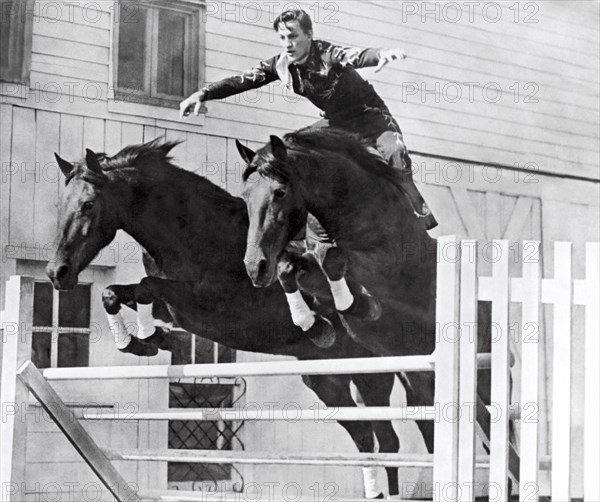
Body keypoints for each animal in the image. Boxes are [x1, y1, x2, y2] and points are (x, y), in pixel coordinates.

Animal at [43, 138, 436, 498]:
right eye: (61, 205)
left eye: (88, 204)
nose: (57, 273)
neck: (191, 230)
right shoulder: (176, 307)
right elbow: (117, 293)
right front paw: (146, 341)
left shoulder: (210, 305)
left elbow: (146, 288)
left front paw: (149, 340)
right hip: (327, 380)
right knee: (368, 438)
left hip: (373, 373)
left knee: (391, 440)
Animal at [238, 127, 520, 484]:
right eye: (245, 196)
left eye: (280, 192)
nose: (255, 268)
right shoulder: (311, 270)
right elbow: (295, 268)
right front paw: (317, 327)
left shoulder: (383, 269)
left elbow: (332, 259)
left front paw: (360, 306)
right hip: (421, 379)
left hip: (485, 375)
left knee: (499, 432)